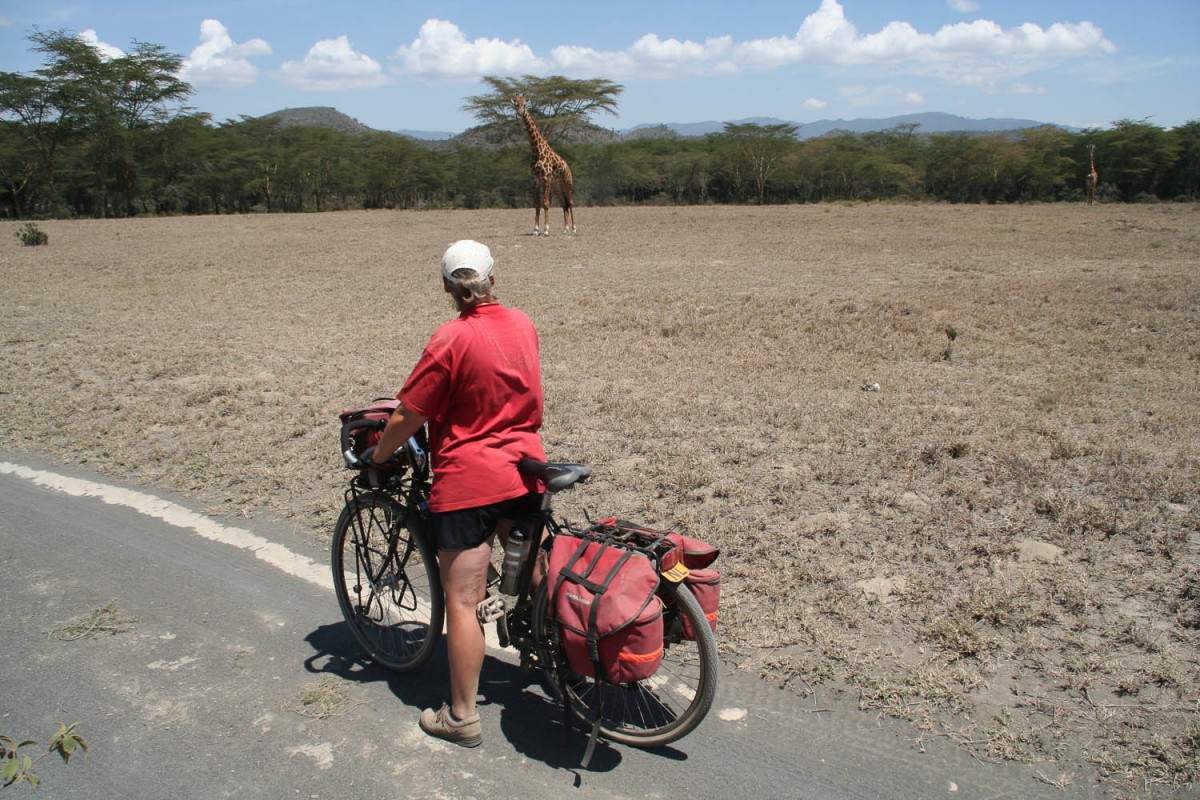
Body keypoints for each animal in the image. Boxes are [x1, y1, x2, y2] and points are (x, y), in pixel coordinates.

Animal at [511, 94, 576, 236]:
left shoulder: (546, 177)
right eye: (516, 104)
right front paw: (535, 229)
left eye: (525, 104)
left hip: (567, 181)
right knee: (564, 203)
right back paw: (565, 229)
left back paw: (574, 228)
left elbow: (546, 203)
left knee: (570, 202)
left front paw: (546, 229)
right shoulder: (535, 179)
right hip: (557, 185)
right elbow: (537, 204)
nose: (520, 112)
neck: (537, 151)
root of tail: (567, 166)